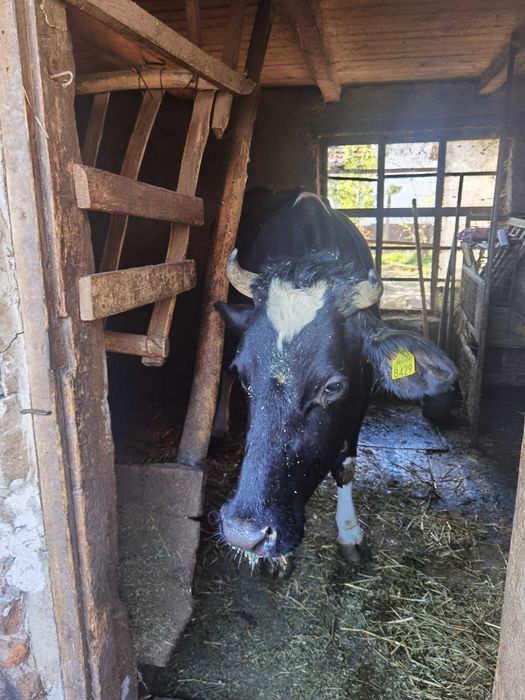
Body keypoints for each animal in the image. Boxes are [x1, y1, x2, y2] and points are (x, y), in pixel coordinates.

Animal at [214, 187, 457, 573]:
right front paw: (277, 557)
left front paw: (349, 533)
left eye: (332, 387)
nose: (243, 533)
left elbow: (344, 465)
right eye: (244, 375)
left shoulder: (360, 396)